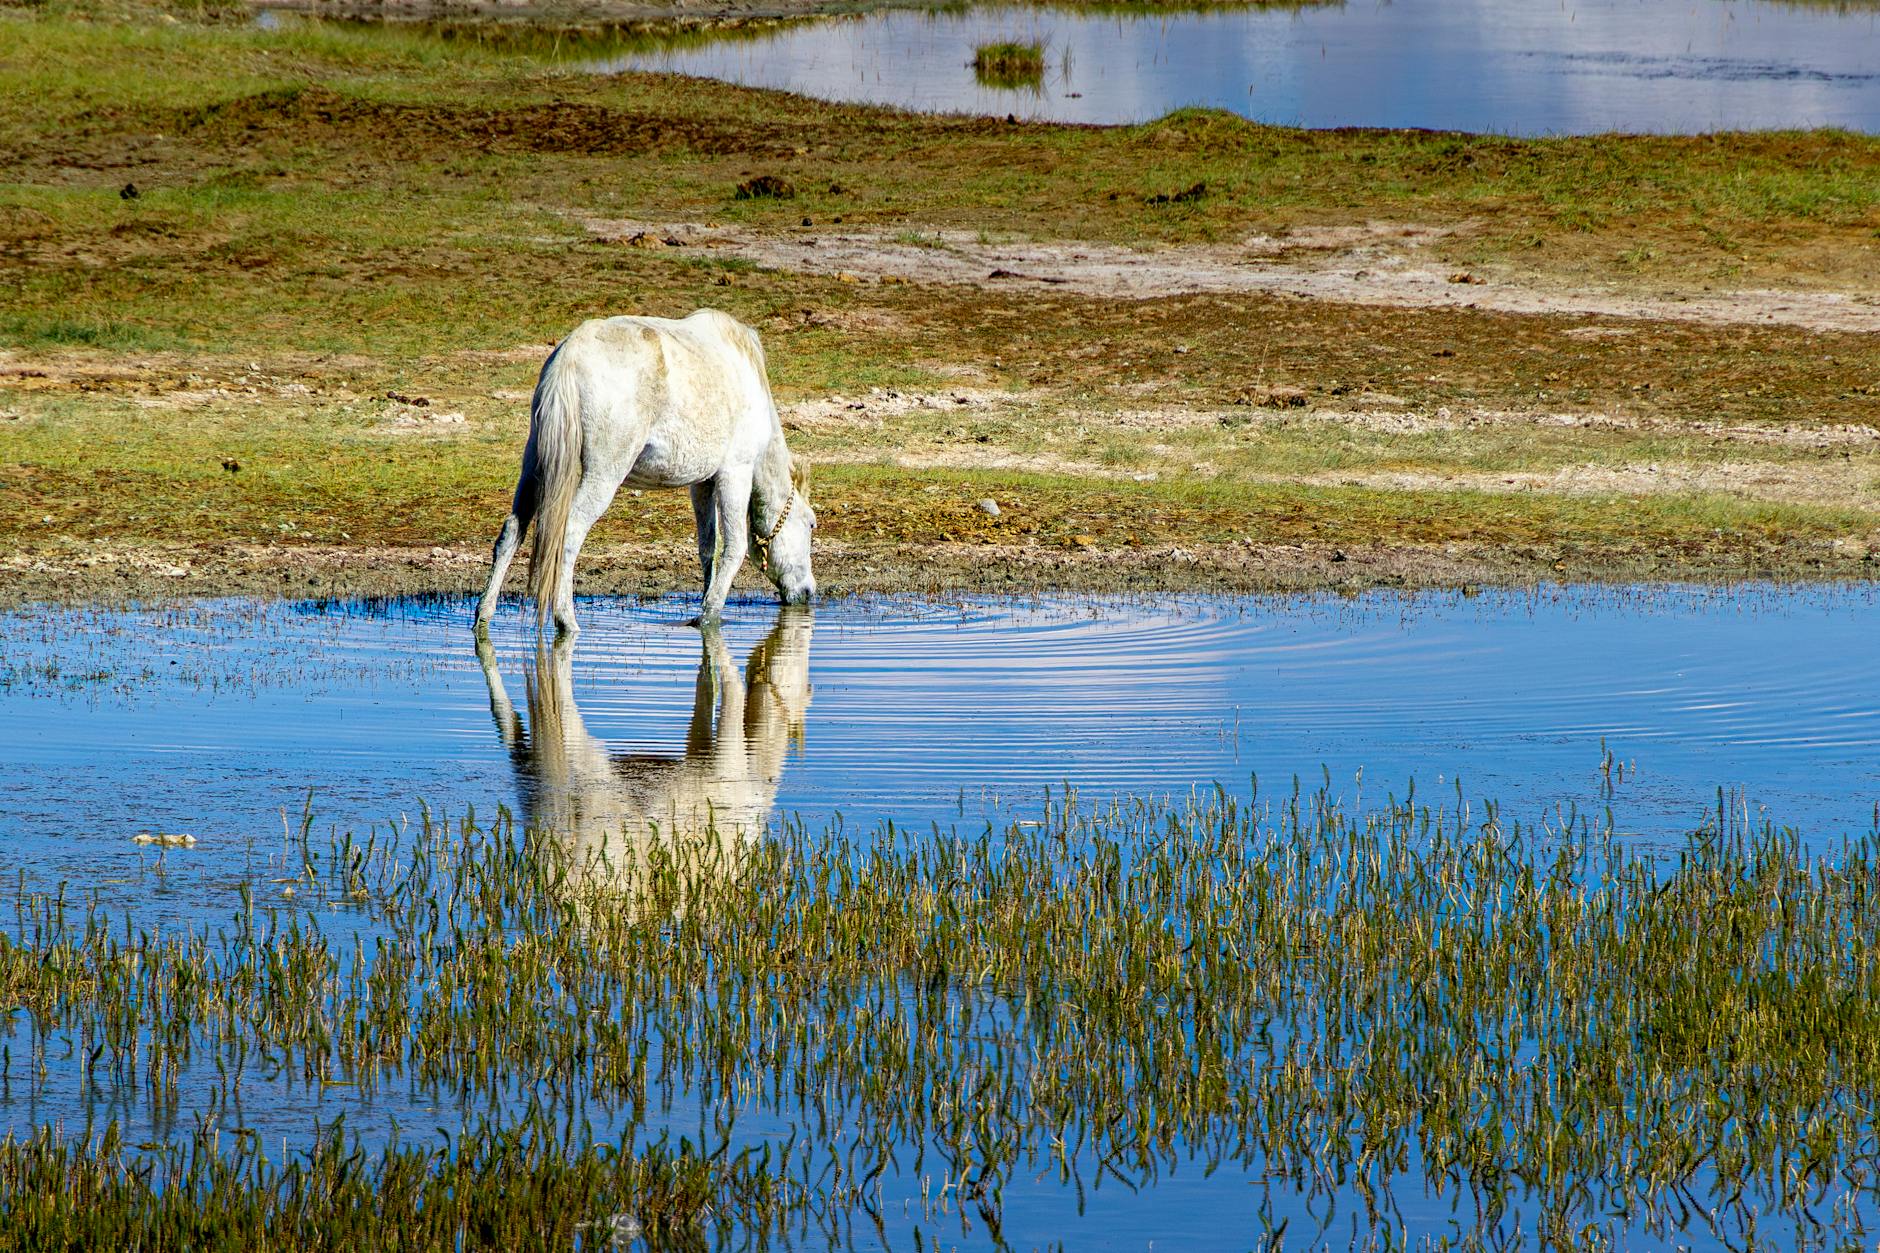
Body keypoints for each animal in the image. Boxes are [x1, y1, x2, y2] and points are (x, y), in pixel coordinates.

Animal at [474, 309, 816, 639]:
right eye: (811, 524)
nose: (809, 592)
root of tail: (569, 358)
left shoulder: (702, 483)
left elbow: (708, 546)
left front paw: (706, 602)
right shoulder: (736, 472)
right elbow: (734, 548)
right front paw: (710, 615)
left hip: (534, 465)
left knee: (512, 530)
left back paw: (483, 615)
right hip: (604, 473)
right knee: (570, 532)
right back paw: (566, 619)